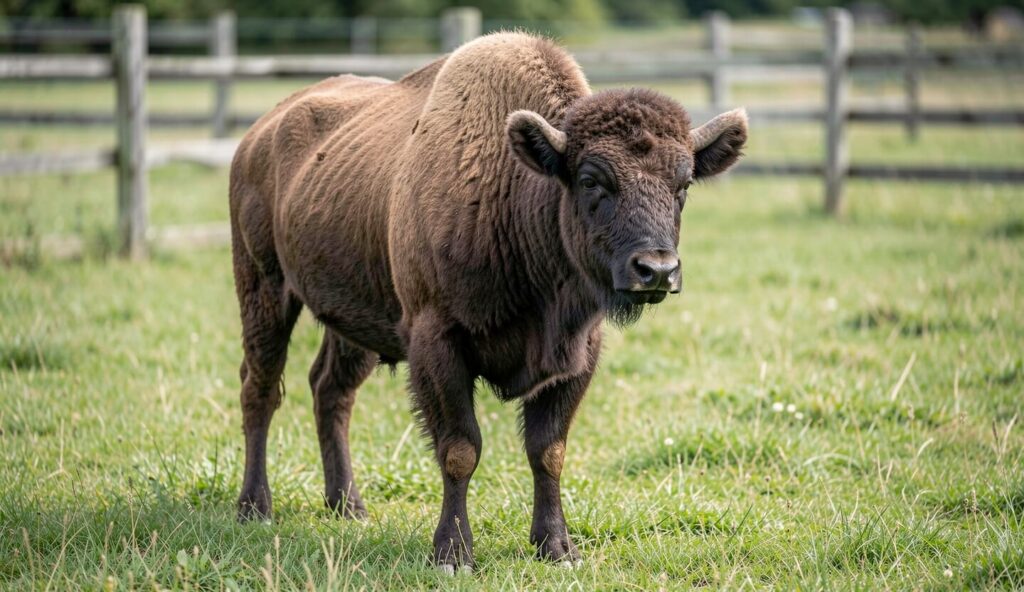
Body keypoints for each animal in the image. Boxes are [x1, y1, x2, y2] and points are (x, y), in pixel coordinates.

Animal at [228, 31, 747, 572]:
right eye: (590, 180)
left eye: (683, 185)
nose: (657, 269)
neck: (517, 191)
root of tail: (257, 135)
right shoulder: (437, 343)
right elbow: (460, 449)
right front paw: (453, 553)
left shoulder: (576, 354)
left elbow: (548, 451)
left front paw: (557, 548)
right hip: (264, 290)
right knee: (260, 389)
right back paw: (255, 508)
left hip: (354, 321)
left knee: (330, 390)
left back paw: (348, 506)